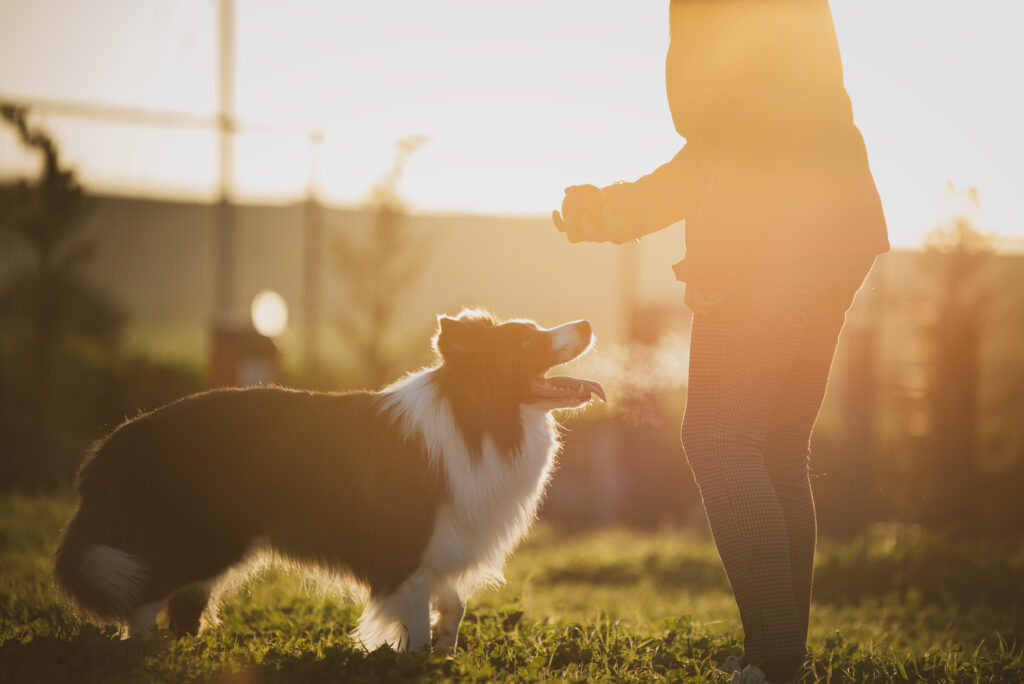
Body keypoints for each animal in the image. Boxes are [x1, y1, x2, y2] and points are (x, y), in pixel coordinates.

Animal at [54, 309, 598, 651]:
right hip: (207, 536)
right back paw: (144, 652)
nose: (588, 323)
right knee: (146, 594)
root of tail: (125, 435)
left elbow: (454, 605)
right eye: (526, 339)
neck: (478, 419)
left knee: (181, 603)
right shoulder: (405, 550)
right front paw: (418, 659)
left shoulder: (445, 540)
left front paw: (447, 649)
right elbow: (417, 623)